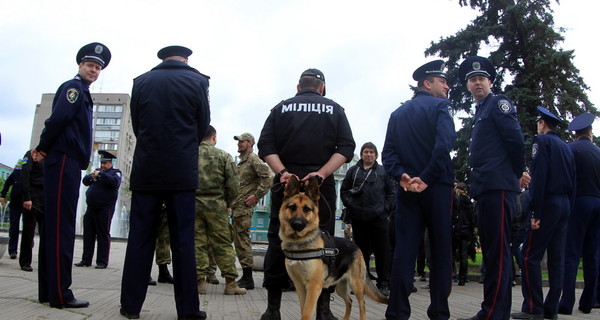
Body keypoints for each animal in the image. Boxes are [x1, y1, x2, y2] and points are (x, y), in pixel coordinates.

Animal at [278, 175, 386, 320]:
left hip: (356, 285)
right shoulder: (300, 285)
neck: (299, 243)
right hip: (340, 286)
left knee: (362, 303)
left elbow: (306, 313)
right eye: (292, 207)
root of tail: (354, 244)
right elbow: (303, 310)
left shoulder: (313, 286)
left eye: (306, 209)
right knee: (349, 301)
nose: (298, 224)